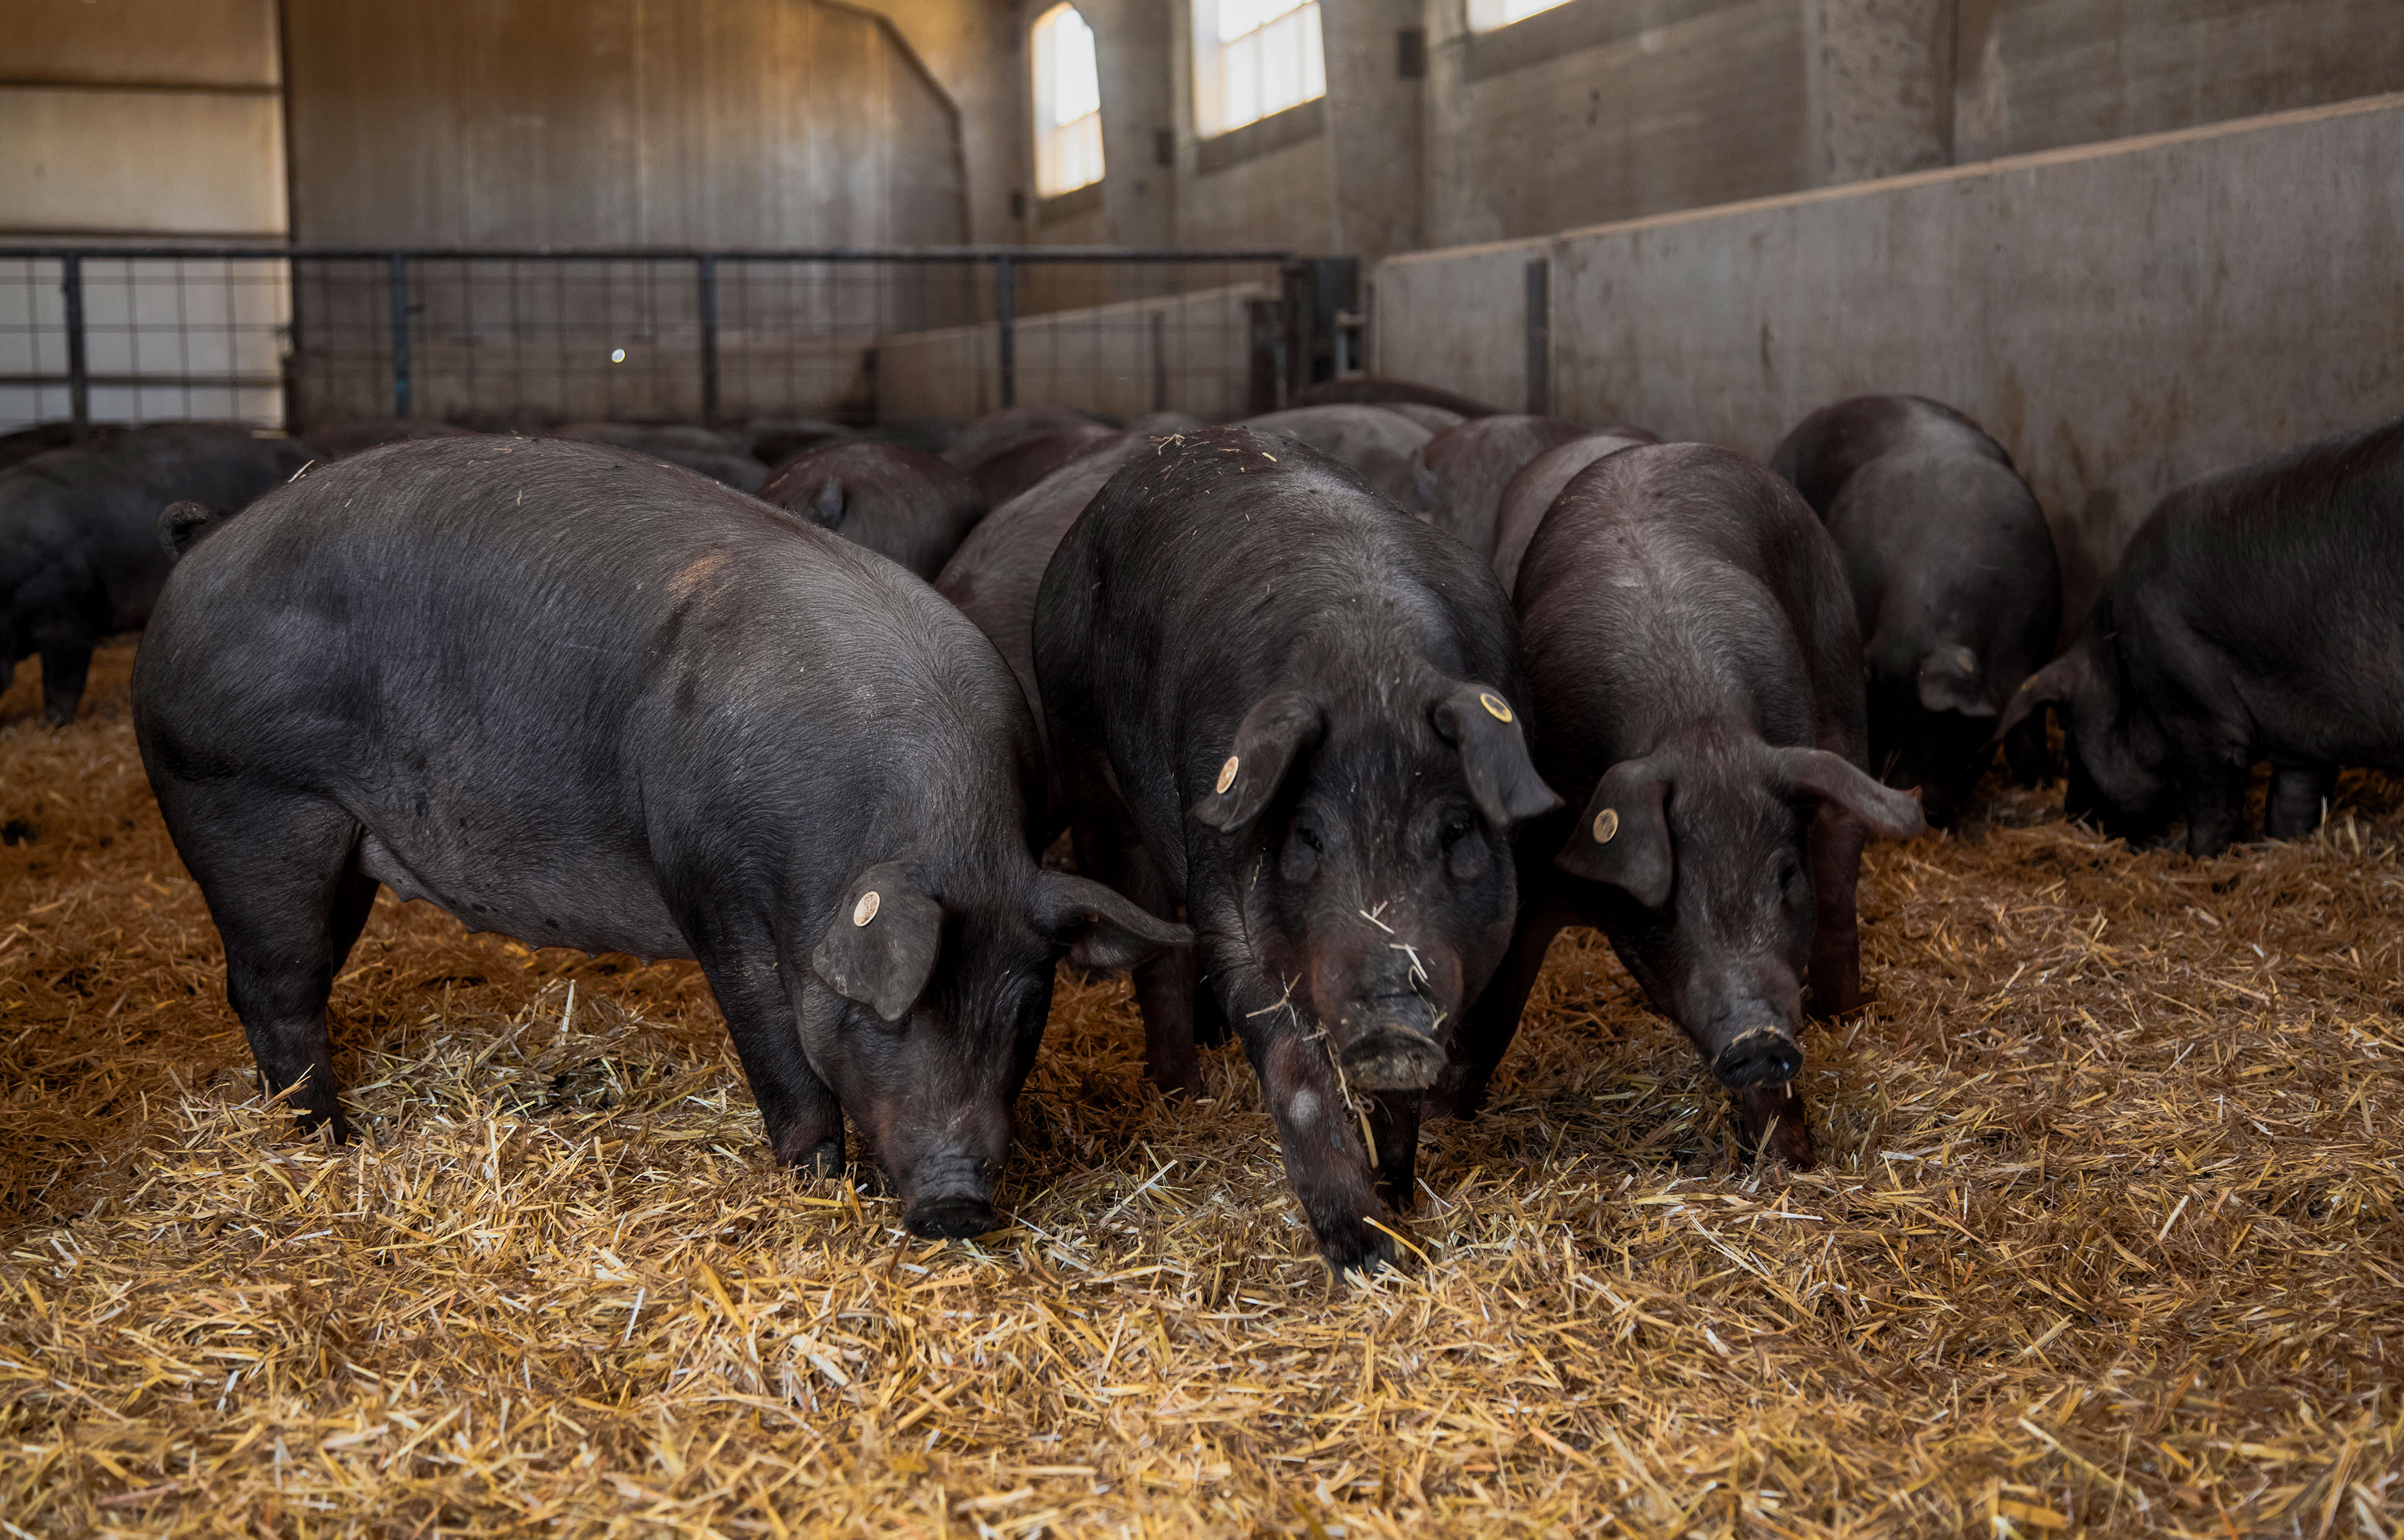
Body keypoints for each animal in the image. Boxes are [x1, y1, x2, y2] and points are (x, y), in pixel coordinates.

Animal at [131, 432, 1183, 1240]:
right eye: (888, 1011)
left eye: (1025, 1013)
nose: (958, 1204)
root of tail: (199, 546)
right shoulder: (711, 882)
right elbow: (780, 1053)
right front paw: (819, 1188)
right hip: (244, 800)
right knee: (273, 988)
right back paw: (329, 1143)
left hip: (337, 844)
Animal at [1034, 427, 1558, 1268]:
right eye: (1309, 833)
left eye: (1454, 830)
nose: (1391, 1006)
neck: (1372, 671)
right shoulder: (1227, 895)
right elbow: (1293, 1065)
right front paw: (1365, 1252)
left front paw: (1398, 1204)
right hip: (1087, 762)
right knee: (1157, 957)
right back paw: (1184, 1097)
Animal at [1442, 444, 1914, 1163]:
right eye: (1668, 894)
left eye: (1785, 875)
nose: (1757, 1038)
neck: (1697, 729)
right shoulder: (1532, 871)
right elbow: (1492, 1014)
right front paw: (1444, 1122)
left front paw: (1791, 1160)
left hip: (1841, 697)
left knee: (1840, 880)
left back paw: (1841, 1010)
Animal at [2000, 413, 2404, 860]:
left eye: (2068, 730)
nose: (2071, 812)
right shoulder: (2303, 735)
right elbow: (2292, 804)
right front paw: (2280, 849)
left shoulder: (2196, 706)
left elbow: (2214, 802)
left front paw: (2196, 858)